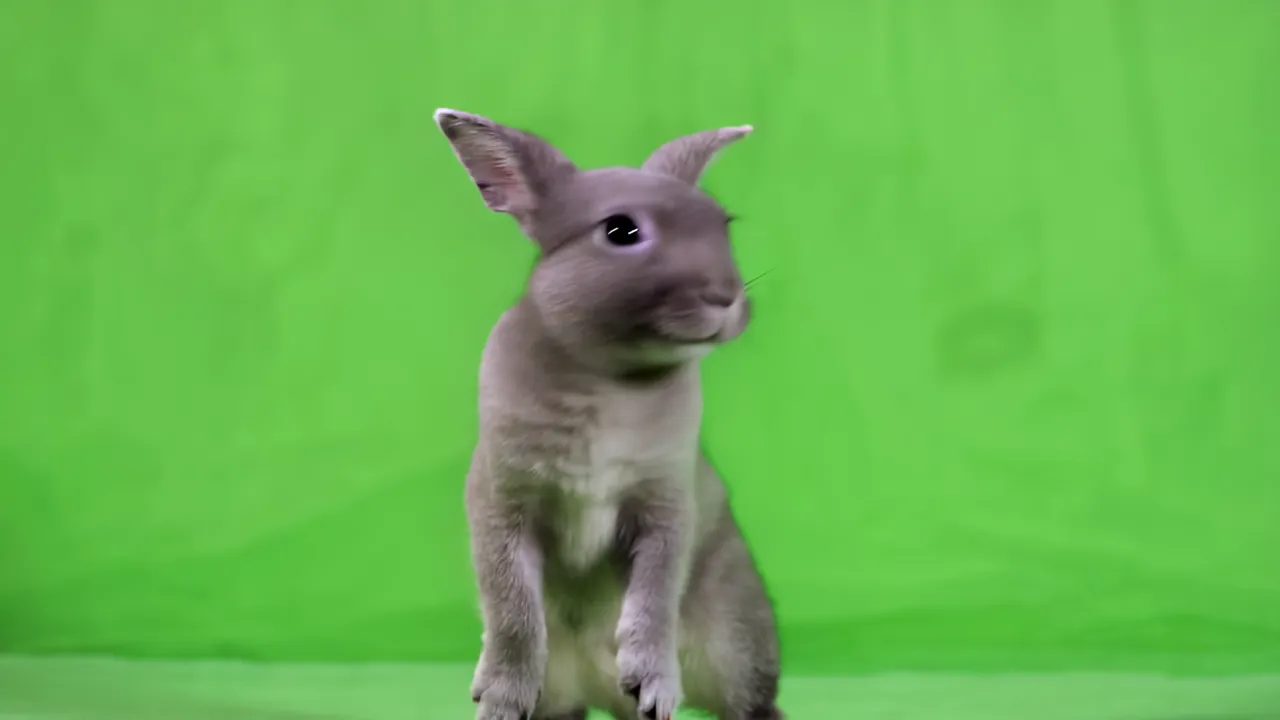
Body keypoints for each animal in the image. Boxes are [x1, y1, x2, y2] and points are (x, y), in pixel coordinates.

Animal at [433, 108, 784, 720]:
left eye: (724, 224)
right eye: (621, 231)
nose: (725, 297)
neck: (609, 379)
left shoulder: (665, 505)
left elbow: (655, 595)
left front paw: (653, 681)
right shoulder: (502, 503)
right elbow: (511, 609)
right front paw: (498, 694)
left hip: (736, 645)